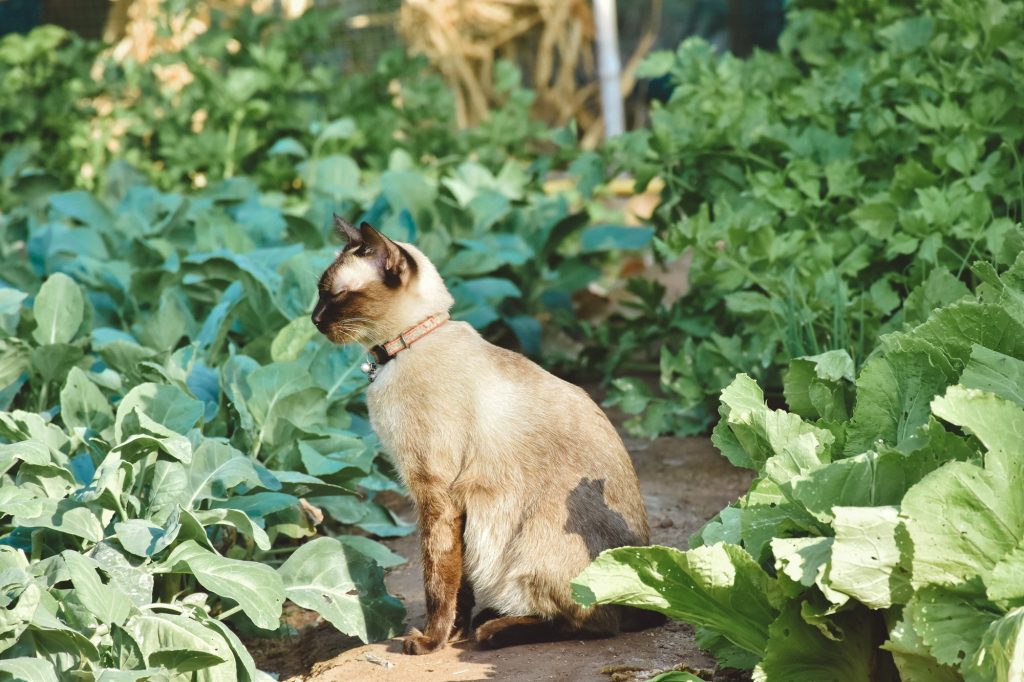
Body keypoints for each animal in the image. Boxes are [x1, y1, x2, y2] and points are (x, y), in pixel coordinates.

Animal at [313, 215, 663, 651]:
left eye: (335, 295)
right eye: (319, 293)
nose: (314, 320)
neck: (405, 349)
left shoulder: (435, 493)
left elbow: (437, 577)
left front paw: (430, 642)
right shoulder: (446, 503)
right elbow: (459, 584)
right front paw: (452, 635)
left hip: (528, 546)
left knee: (594, 623)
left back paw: (493, 630)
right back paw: (487, 619)